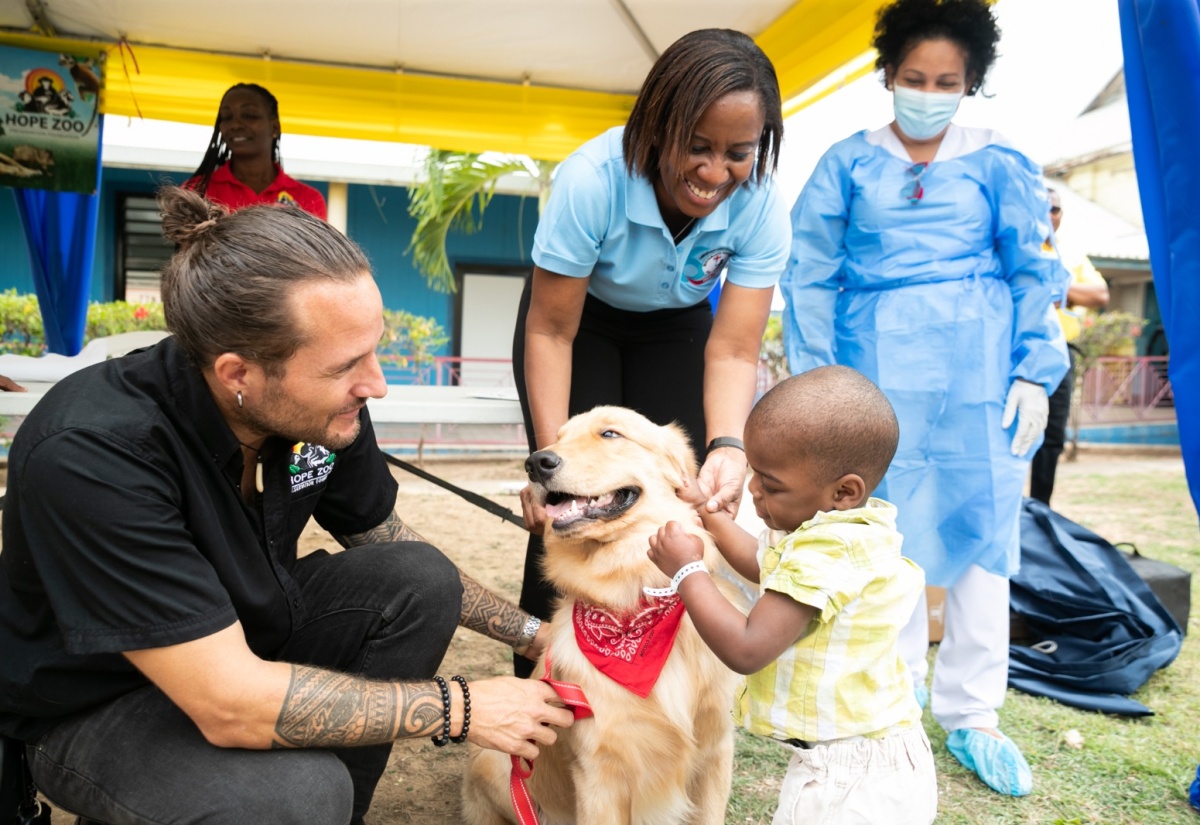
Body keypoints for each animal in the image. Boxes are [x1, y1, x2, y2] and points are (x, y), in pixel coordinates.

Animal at [460, 405, 734, 825]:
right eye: (558, 437)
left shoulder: (716, 751)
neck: (632, 606)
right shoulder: (598, 774)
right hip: (495, 760)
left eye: (610, 434)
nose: (536, 463)